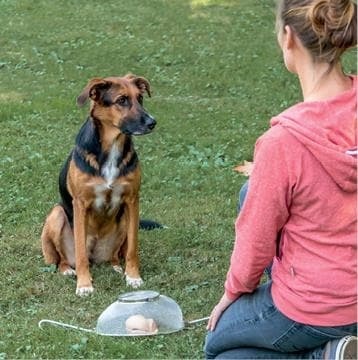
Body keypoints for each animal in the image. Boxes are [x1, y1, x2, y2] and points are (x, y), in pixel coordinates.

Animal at [40, 73, 157, 296]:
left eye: (140, 98)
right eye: (122, 100)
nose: (152, 123)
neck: (112, 146)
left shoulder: (132, 201)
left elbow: (132, 249)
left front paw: (133, 277)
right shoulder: (80, 204)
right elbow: (80, 254)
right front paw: (84, 285)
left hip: (124, 221)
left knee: (116, 254)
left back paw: (116, 265)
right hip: (56, 215)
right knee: (64, 258)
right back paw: (68, 269)